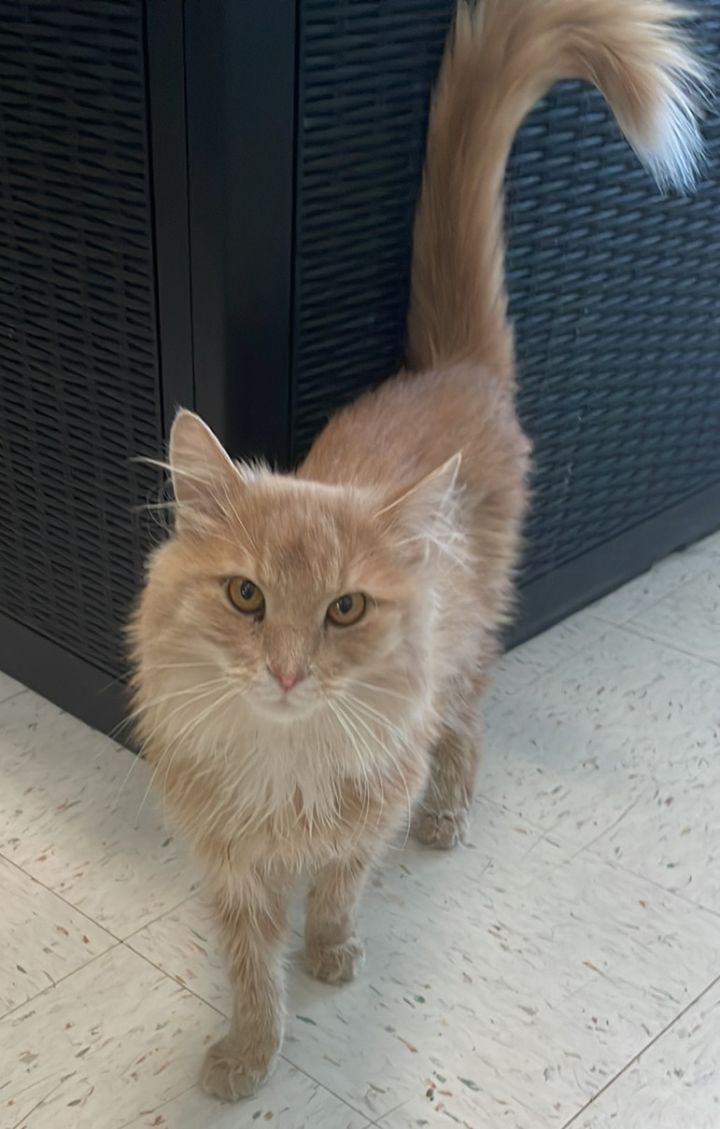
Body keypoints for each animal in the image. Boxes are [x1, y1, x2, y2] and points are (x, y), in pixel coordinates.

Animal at [128, 0, 704, 1097]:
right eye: (245, 597)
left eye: (345, 607)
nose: (287, 672)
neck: (285, 761)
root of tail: (455, 366)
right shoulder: (229, 864)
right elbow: (249, 968)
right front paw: (248, 1054)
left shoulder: (362, 817)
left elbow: (338, 892)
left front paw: (332, 956)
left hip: (467, 658)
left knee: (468, 733)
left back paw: (447, 818)